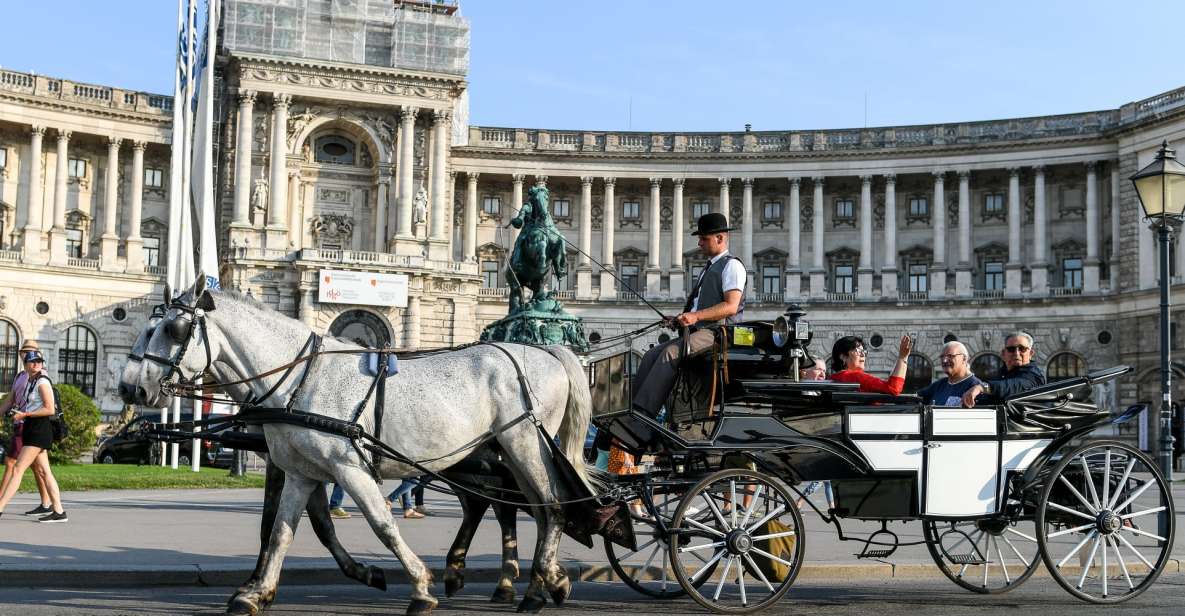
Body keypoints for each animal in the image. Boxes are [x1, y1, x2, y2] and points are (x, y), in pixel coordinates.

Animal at [134, 277, 592, 611]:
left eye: (174, 329)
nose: (134, 388)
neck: (300, 379)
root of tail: (549, 352)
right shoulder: (301, 472)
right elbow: (283, 531)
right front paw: (255, 593)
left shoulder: (349, 467)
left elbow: (381, 524)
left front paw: (419, 587)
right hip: (499, 453)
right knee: (519, 507)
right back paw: (535, 582)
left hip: (523, 442)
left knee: (551, 506)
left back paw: (535, 586)